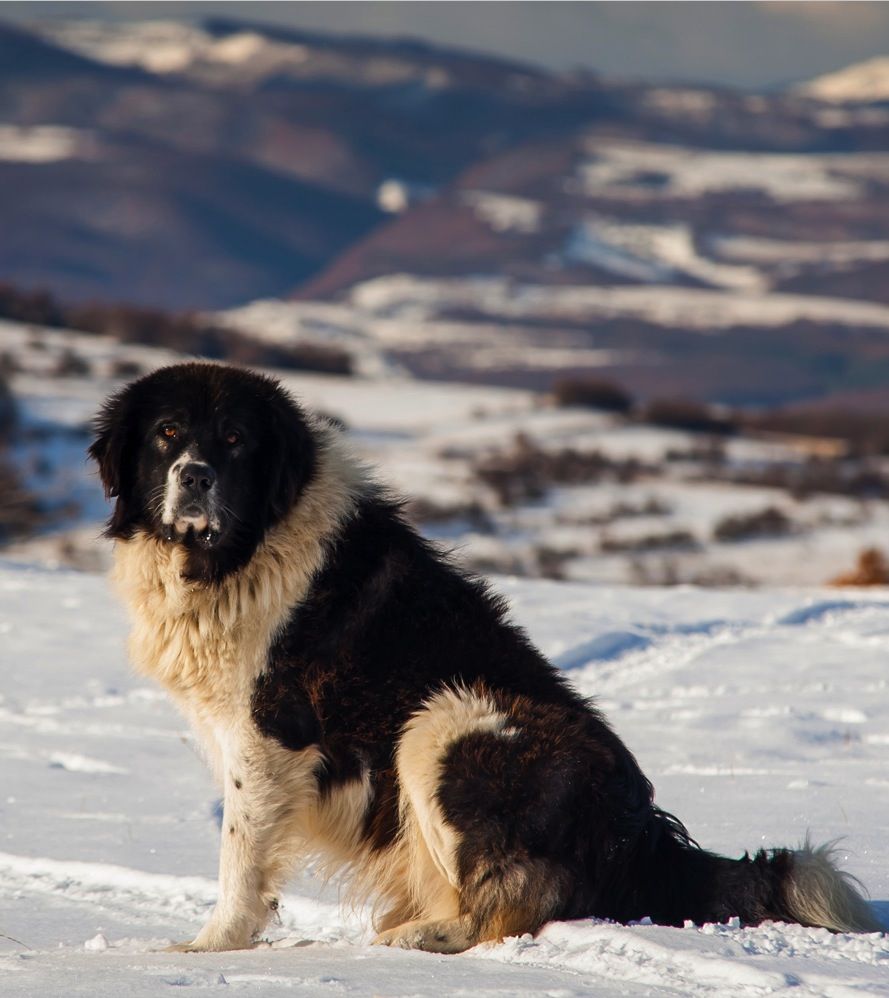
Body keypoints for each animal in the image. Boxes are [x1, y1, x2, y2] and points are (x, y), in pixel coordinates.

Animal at [88, 366, 880, 952]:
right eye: (167, 434)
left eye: (234, 439)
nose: (194, 475)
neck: (240, 552)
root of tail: (638, 832)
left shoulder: (270, 734)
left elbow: (240, 852)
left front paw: (208, 946)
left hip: (446, 722)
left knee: (515, 901)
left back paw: (417, 936)